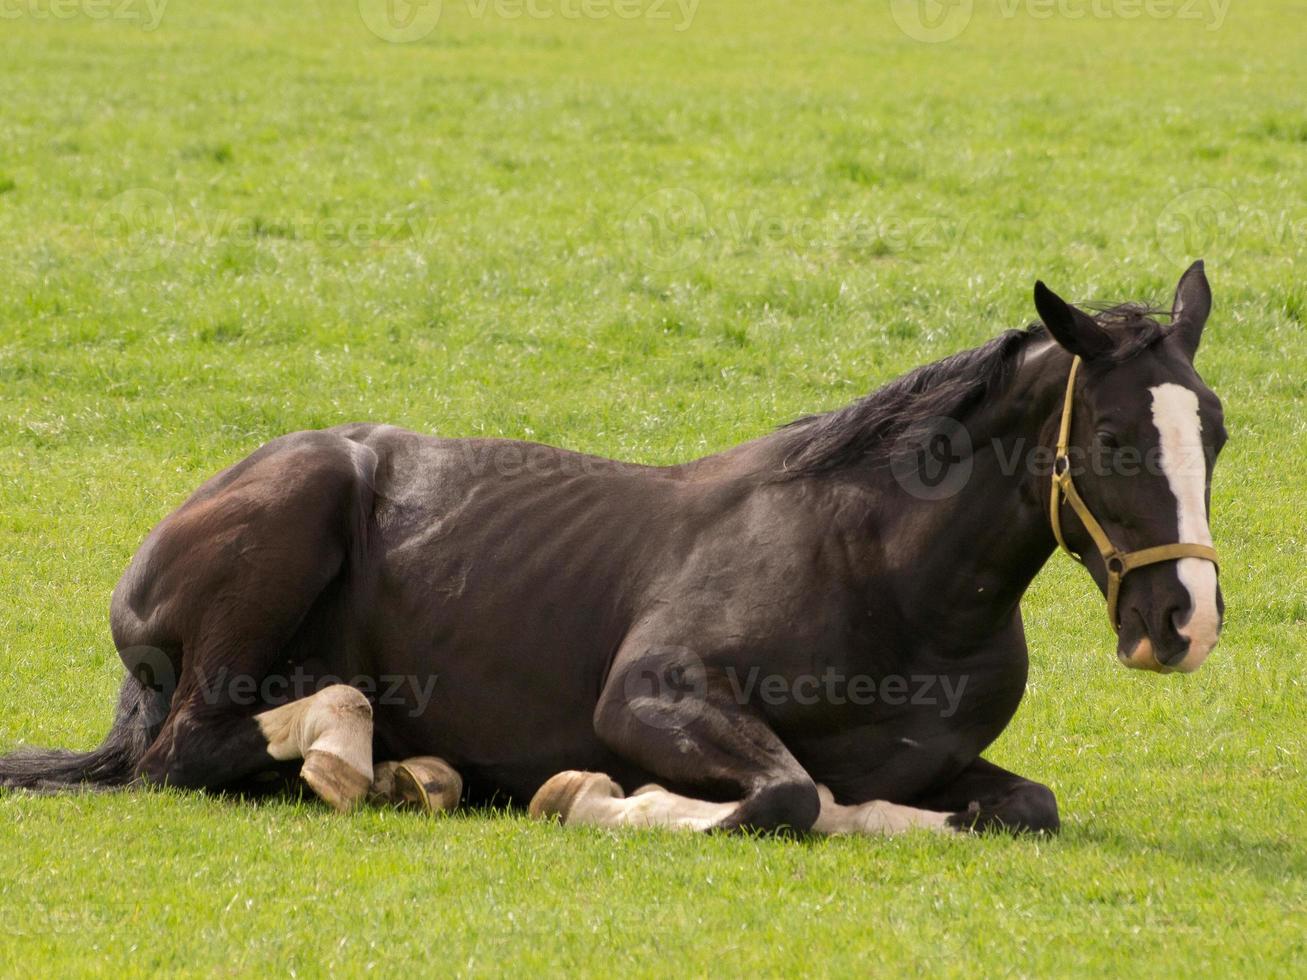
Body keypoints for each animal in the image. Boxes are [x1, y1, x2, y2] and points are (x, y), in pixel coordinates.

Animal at [0, 265, 1223, 841]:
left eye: (1212, 431)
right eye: (1113, 437)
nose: (1184, 623)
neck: (878, 574)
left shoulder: (940, 761)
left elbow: (1012, 807)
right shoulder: (649, 696)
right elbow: (788, 795)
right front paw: (597, 795)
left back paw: (410, 769)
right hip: (287, 528)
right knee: (186, 751)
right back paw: (354, 749)